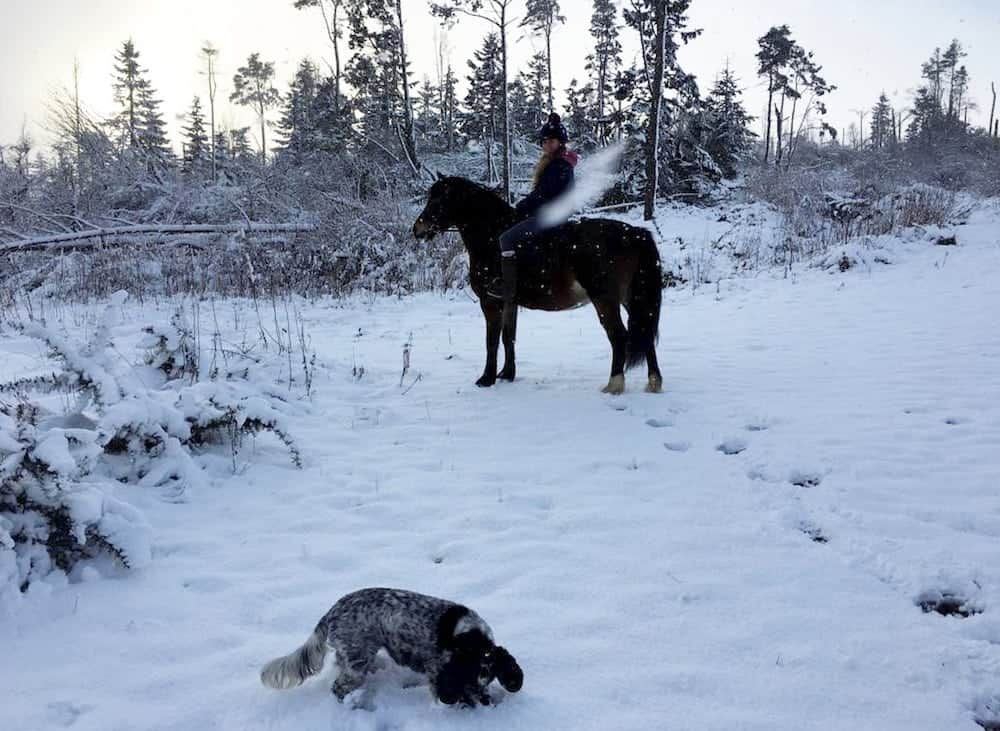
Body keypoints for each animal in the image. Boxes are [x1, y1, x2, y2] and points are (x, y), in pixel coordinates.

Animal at [258, 588, 524, 708]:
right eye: (468, 680)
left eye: (489, 679)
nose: (486, 703)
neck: (469, 638)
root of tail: (330, 613)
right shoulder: (438, 670)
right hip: (356, 664)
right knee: (338, 688)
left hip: (354, 655)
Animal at [410, 176, 660, 394]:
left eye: (438, 200)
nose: (417, 229)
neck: (491, 236)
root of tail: (635, 233)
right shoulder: (509, 303)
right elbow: (508, 337)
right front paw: (507, 374)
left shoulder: (490, 302)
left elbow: (491, 341)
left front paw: (486, 379)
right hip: (630, 298)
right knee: (644, 332)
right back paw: (653, 382)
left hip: (604, 299)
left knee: (619, 336)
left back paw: (614, 385)